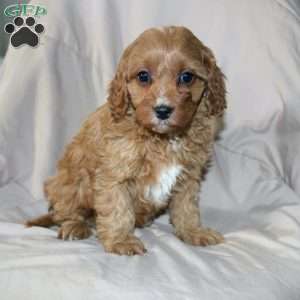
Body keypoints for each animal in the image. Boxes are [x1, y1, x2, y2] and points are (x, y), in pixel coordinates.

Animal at [27, 26, 226, 255]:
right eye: (143, 76)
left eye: (186, 77)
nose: (163, 110)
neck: (162, 138)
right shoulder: (115, 175)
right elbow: (117, 209)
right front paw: (121, 241)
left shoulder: (188, 176)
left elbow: (186, 208)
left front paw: (194, 232)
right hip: (67, 183)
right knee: (65, 211)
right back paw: (74, 226)